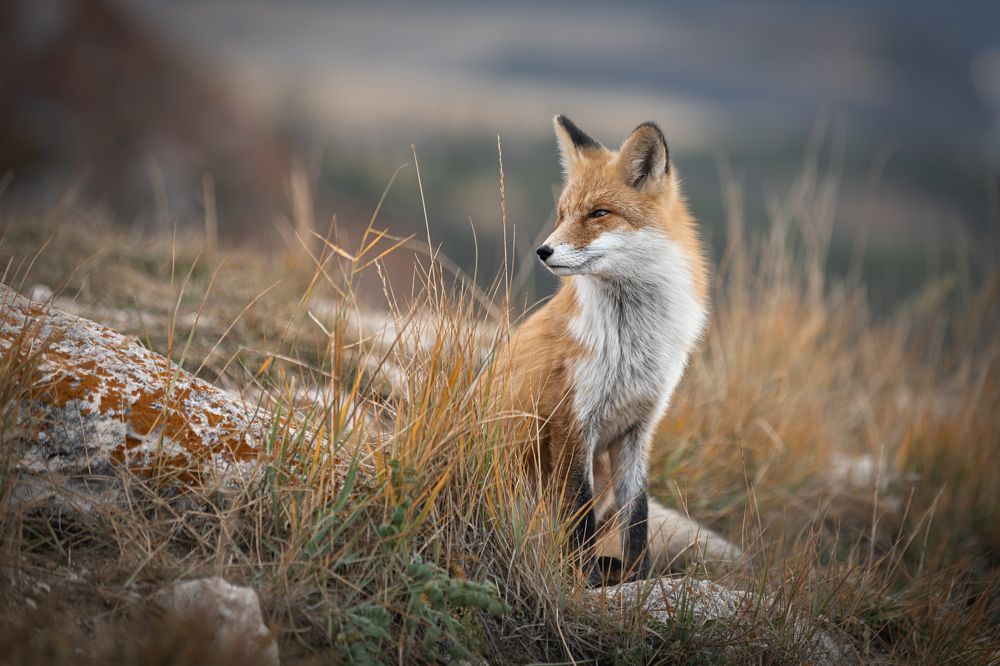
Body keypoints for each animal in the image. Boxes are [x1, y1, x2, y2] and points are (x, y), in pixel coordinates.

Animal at [502, 115, 736, 584]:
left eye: (598, 213)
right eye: (562, 214)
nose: (543, 251)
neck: (630, 344)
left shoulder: (638, 429)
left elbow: (637, 518)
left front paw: (639, 579)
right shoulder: (574, 424)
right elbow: (580, 516)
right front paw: (585, 581)